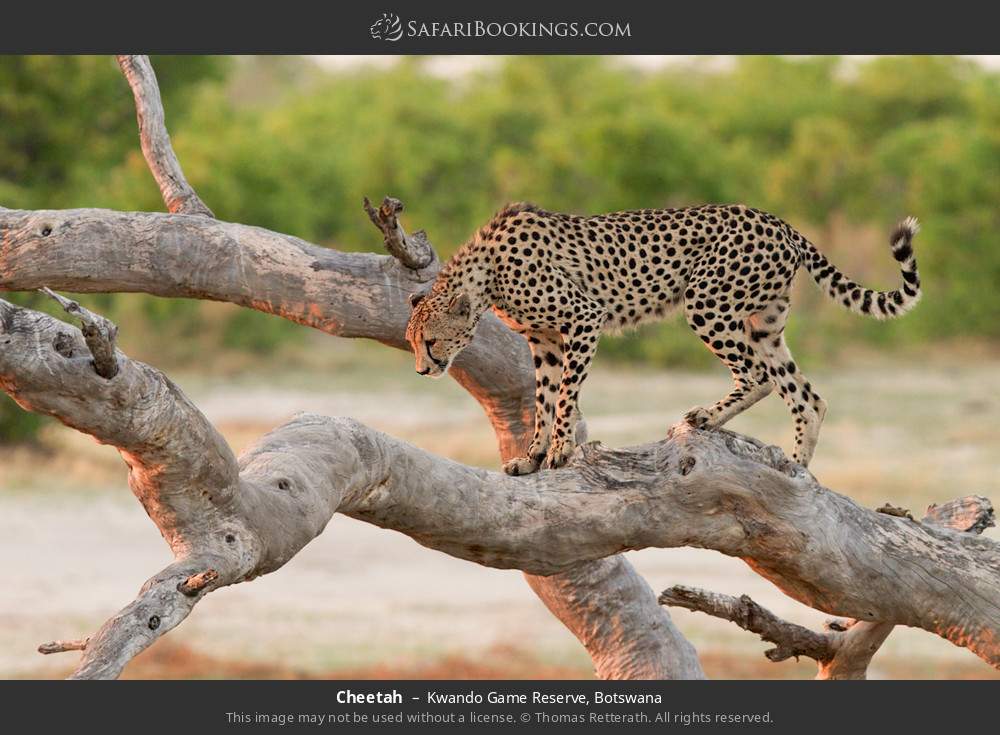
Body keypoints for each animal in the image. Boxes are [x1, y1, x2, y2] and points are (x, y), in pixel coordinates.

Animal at [405, 202, 921, 475]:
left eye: (430, 342)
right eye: (413, 343)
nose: (422, 369)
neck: (484, 276)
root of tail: (777, 221)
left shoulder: (584, 318)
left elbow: (566, 397)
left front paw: (560, 450)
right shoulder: (544, 340)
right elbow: (544, 398)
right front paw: (531, 456)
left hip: (706, 303)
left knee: (757, 376)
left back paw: (706, 417)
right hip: (765, 325)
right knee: (806, 397)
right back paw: (794, 469)